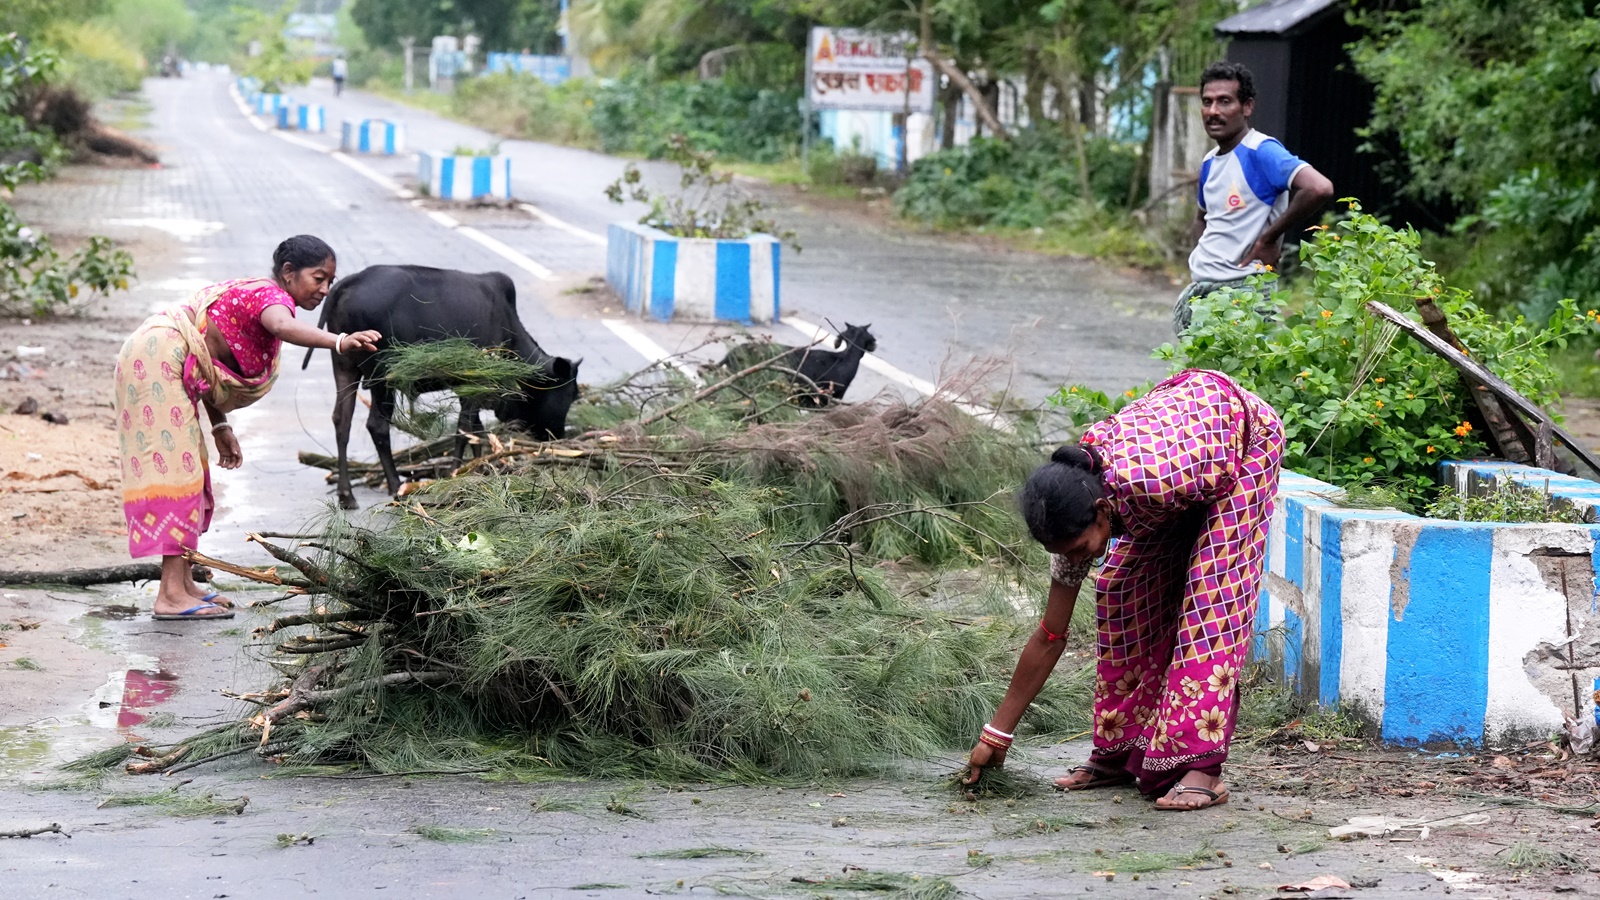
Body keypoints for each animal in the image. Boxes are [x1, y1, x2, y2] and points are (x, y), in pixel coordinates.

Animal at [300, 262, 582, 509]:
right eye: (571, 394)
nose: (558, 435)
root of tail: (349, 282)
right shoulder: (475, 382)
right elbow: (464, 430)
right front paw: (456, 473)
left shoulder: (467, 391)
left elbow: (476, 432)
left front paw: (480, 469)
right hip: (383, 375)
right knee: (377, 426)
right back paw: (396, 486)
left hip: (344, 366)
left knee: (342, 421)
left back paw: (346, 495)